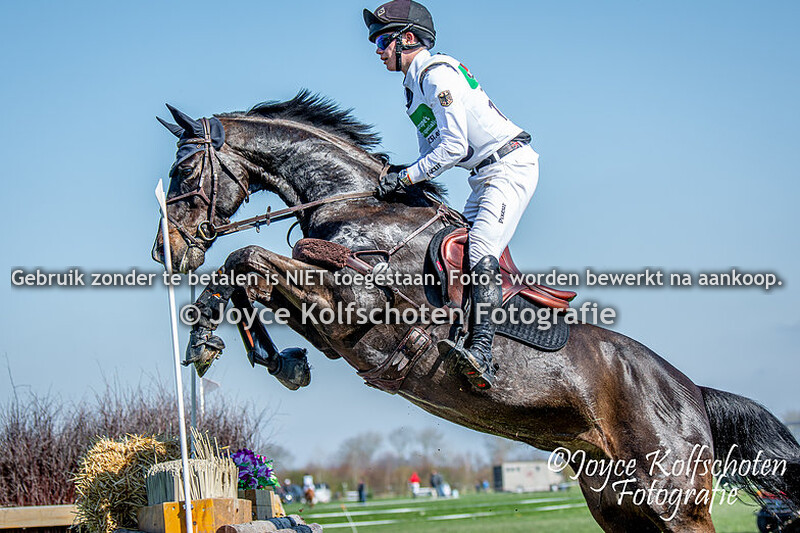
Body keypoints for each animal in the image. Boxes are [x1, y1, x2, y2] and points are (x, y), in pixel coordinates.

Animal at [152, 91, 800, 532]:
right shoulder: (333, 323)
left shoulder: (357, 306)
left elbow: (242, 257)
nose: (167, 251)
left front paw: (211, 338)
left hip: (674, 502)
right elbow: (246, 275)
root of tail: (691, 393)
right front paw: (270, 357)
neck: (355, 205)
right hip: (619, 505)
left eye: (183, 171)